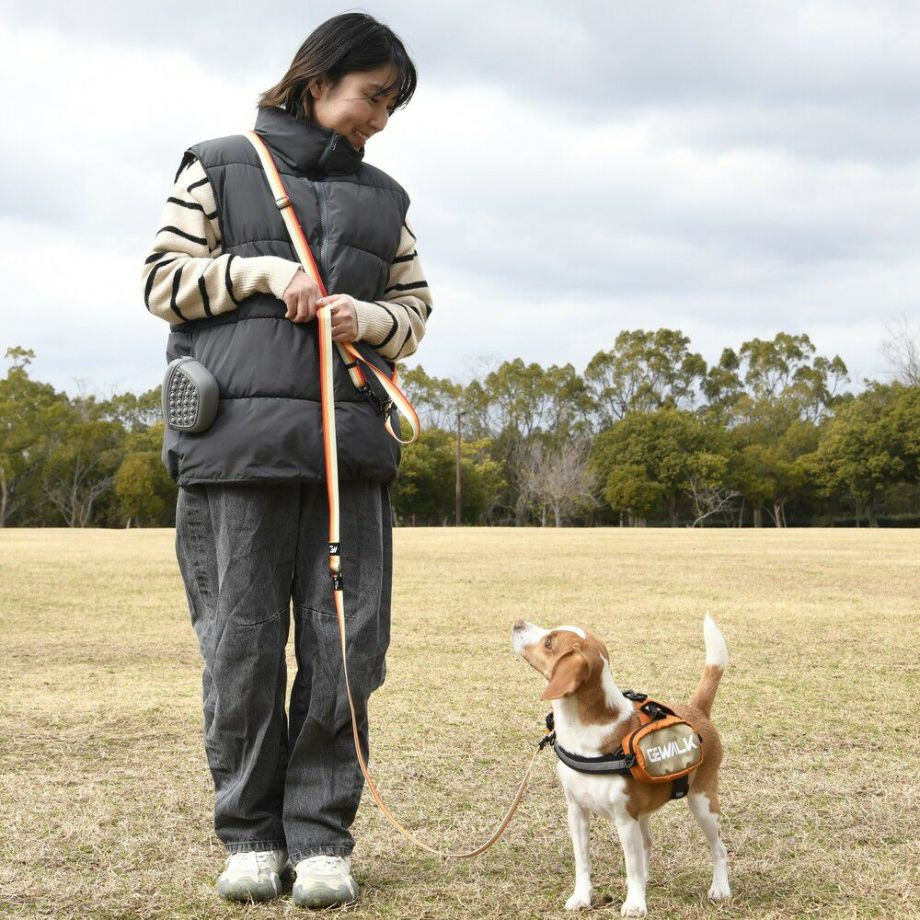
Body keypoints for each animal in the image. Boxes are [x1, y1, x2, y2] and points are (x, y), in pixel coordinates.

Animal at [510, 616, 732, 916]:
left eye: (548, 642)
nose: (518, 623)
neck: (583, 731)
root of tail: (697, 709)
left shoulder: (625, 820)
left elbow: (632, 867)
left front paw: (635, 904)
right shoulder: (576, 811)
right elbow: (582, 862)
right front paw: (582, 897)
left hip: (703, 803)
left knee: (718, 848)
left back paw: (720, 888)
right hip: (646, 811)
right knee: (648, 843)